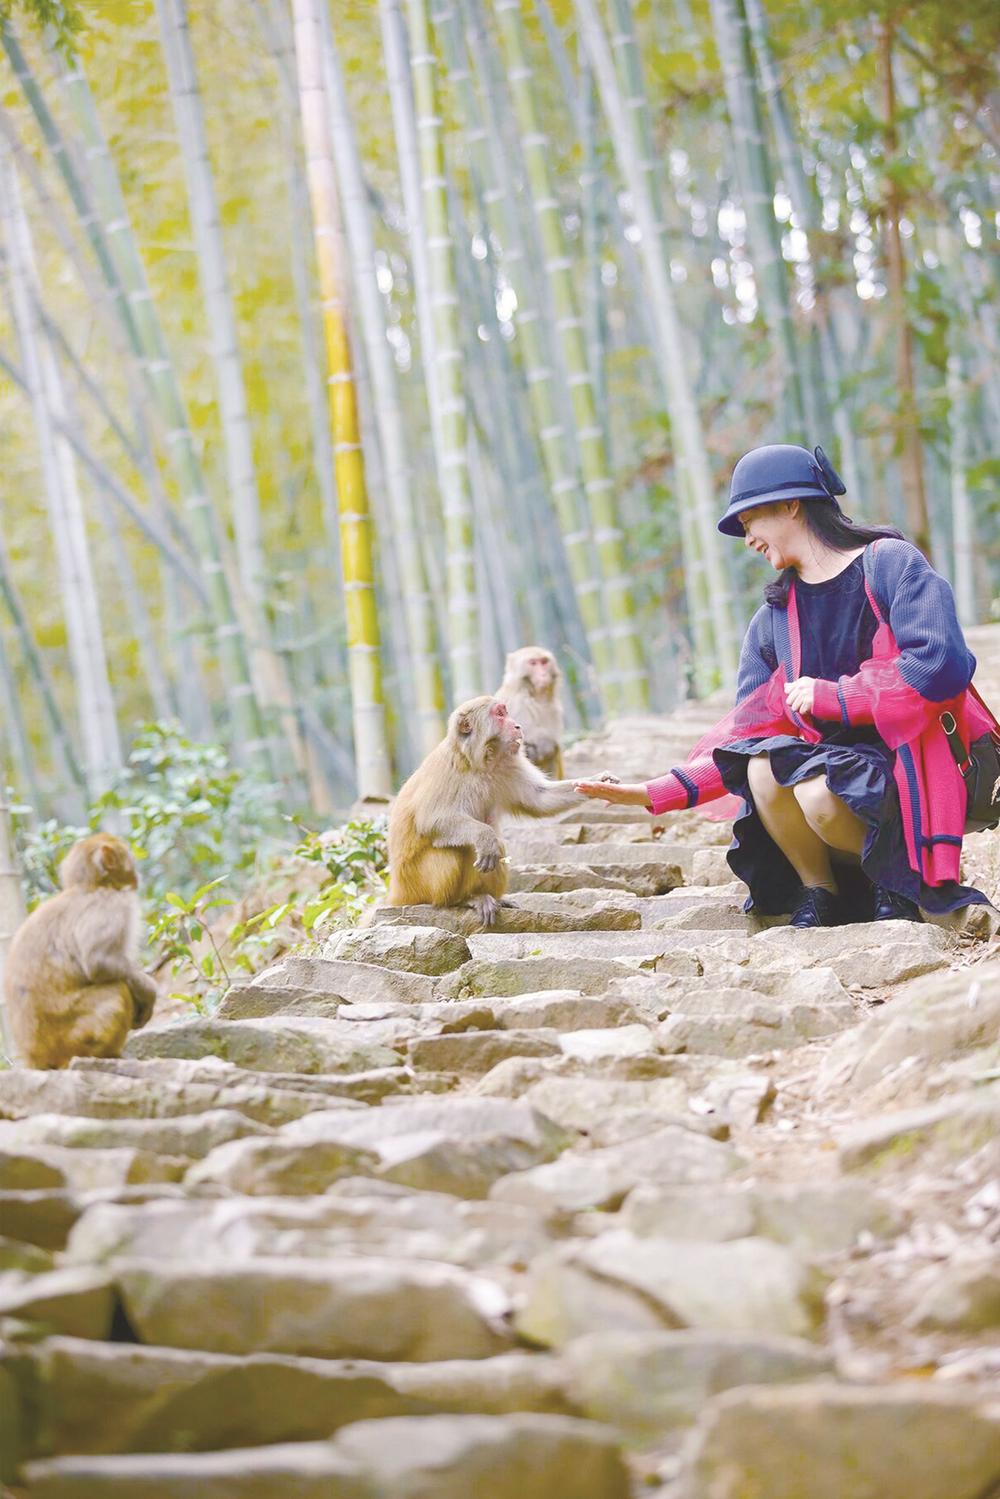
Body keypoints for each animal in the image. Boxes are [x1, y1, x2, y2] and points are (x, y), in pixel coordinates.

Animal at [4, 833, 158, 1067]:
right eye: (129, 856)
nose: (137, 874)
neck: (88, 887)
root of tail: (35, 1058)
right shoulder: (111, 904)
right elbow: (98, 963)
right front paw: (149, 991)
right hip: (71, 1038)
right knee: (117, 990)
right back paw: (107, 1054)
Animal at [386, 692, 581, 923]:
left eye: (506, 712)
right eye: (500, 714)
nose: (517, 725)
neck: (480, 763)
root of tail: (398, 889)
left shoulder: (508, 765)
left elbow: (539, 799)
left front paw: (598, 783)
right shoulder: (447, 771)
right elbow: (431, 820)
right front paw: (484, 836)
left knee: (498, 847)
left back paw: (492, 897)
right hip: (419, 882)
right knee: (461, 848)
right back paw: (462, 899)